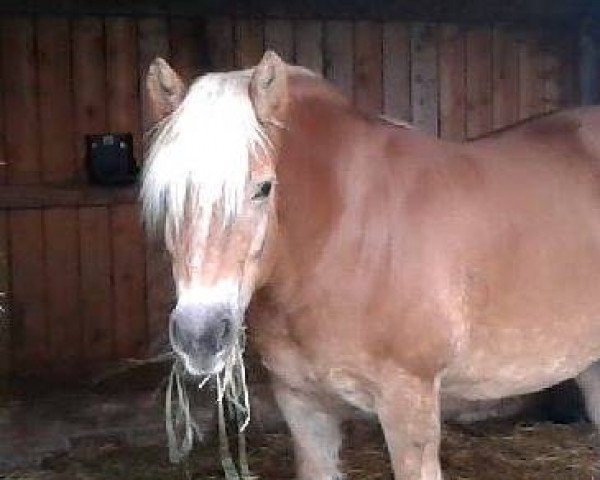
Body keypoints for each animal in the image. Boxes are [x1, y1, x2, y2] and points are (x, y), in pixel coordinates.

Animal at [141, 50, 600, 478]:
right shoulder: (303, 407)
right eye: (165, 194)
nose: (200, 335)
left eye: (264, 187)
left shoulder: (408, 403)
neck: (344, 237)